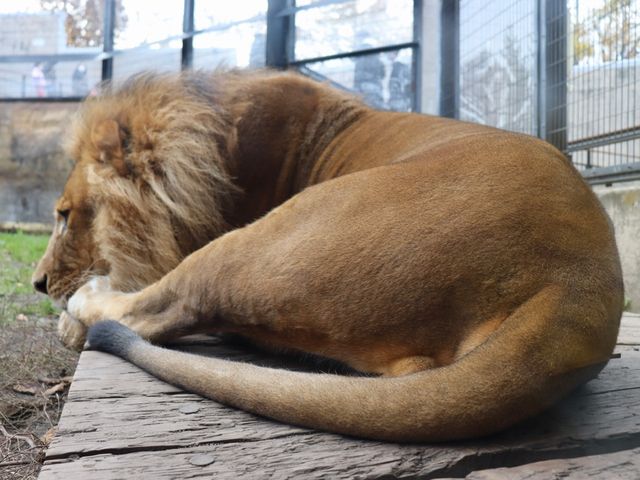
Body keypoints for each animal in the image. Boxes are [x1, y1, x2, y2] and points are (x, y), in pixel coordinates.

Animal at [32, 69, 624, 440]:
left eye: (63, 215)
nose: (37, 283)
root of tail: (573, 283)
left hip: (259, 242)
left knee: (152, 313)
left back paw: (81, 312)